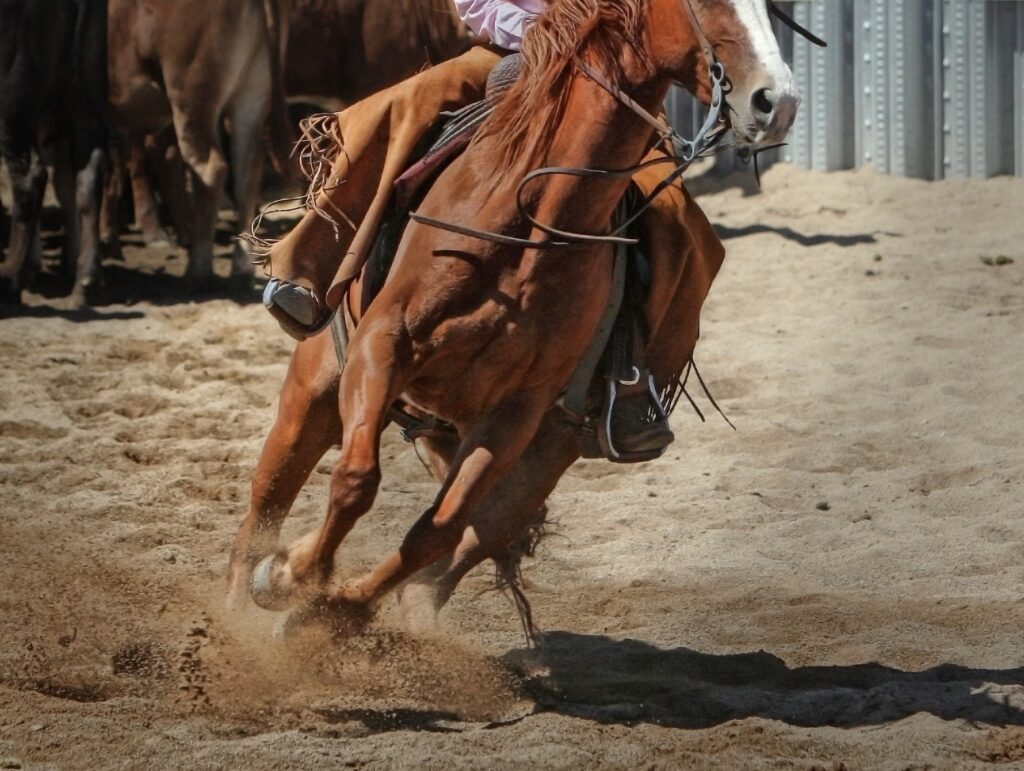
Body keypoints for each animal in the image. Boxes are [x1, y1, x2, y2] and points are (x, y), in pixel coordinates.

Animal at [227, 0, 800, 636]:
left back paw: (352, 616)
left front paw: (322, 604)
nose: (776, 102)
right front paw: (292, 576)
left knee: (464, 544)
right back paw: (235, 615)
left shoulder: (517, 413)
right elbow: (356, 482)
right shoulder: (381, 346)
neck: (528, 224)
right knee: (264, 506)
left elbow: (437, 529)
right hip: (314, 393)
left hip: (542, 451)